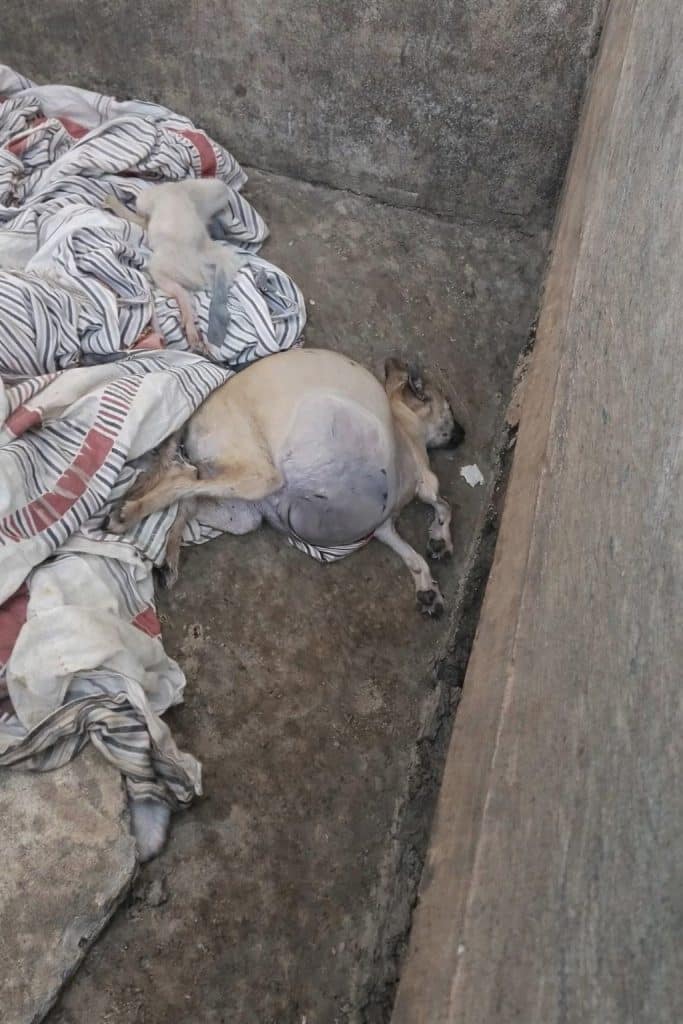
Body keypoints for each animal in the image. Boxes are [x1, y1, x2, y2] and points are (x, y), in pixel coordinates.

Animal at [108, 348, 465, 618]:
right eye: (448, 407)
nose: (464, 434)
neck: (403, 423)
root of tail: (195, 412)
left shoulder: (383, 527)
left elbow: (414, 557)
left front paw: (428, 586)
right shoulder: (425, 480)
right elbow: (444, 504)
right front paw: (441, 539)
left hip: (242, 513)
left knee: (185, 496)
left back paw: (167, 555)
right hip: (259, 477)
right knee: (181, 480)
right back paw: (128, 513)